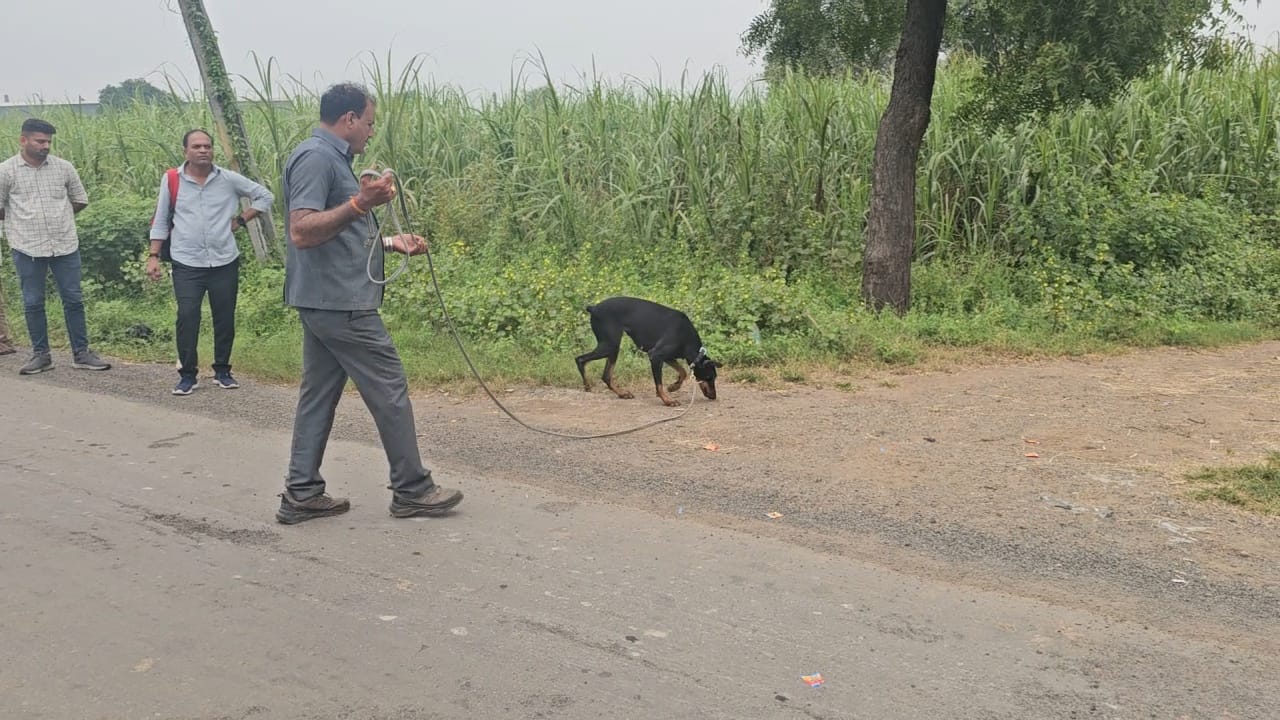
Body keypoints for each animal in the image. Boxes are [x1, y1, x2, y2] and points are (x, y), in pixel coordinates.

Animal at [573, 295, 721, 404]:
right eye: (709, 377)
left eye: (714, 378)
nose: (714, 396)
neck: (686, 337)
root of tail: (593, 308)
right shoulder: (655, 355)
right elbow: (659, 384)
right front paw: (667, 400)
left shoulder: (667, 357)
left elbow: (683, 372)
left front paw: (673, 387)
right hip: (610, 345)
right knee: (580, 359)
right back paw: (587, 386)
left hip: (612, 348)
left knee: (606, 376)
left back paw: (622, 393)